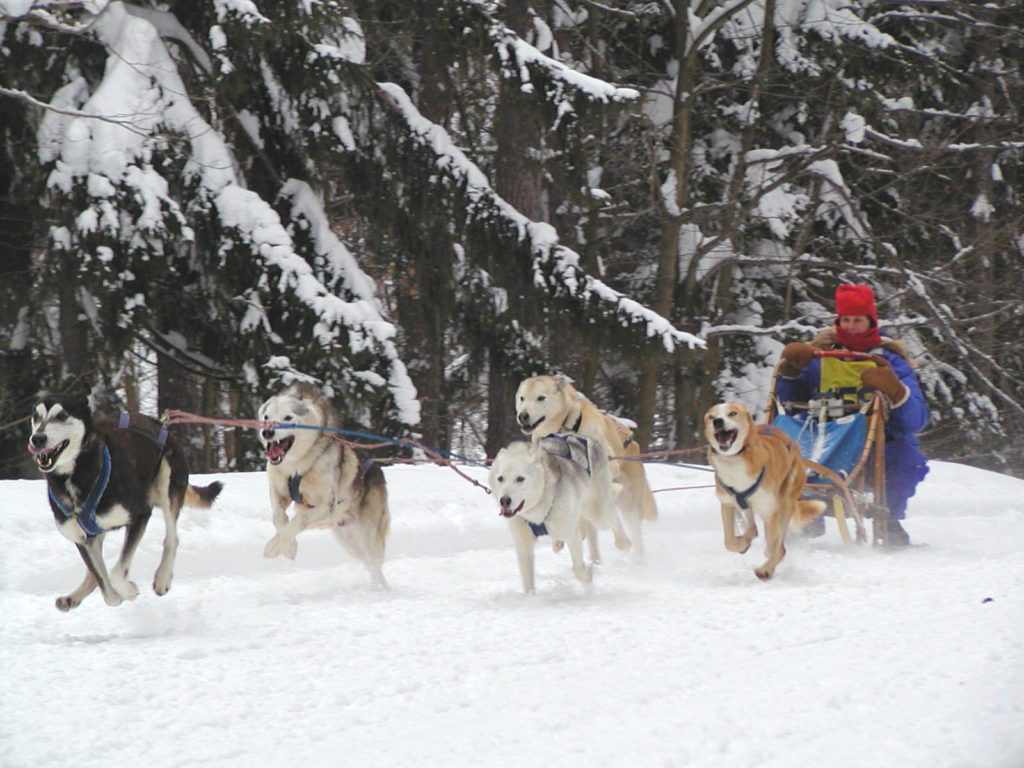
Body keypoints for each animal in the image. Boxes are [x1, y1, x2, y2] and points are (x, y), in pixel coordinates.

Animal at [28, 391, 222, 614]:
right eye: (36, 416)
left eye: (62, 415)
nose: (37, 438)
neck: (76, 475)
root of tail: (161, 424)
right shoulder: (82, 539)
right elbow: (106, 589)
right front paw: (118, 595)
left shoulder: (140, 515)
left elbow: (116, 573)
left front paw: (128, 590)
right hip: (98, 532)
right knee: (94, 573)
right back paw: (72, 598)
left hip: (167, 483)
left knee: (172, 538)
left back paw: (162, 578)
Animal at [254, 382, 387, 589]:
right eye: (266, 417)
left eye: (287, 417)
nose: (267, 431)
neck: (296, 467)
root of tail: (376, 467)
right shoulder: (278, 492)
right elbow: (279, 518)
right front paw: (288, 546)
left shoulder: (326, 505)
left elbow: (298, 520)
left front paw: (274, 546)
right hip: (347, 540)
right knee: (368, 563)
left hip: (369, 534)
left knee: (375, 563)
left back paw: (382, 589)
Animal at [489, 438, 626, 593]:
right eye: (500, 478)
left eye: (520, 479)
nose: (504, 500)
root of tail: (589, 439)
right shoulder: (523, 544)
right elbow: (527, 580)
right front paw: (530, 596)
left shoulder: (571, 534)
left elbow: (578, 569)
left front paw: (588, 574)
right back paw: (558, 543)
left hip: (598, 513)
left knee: (613, 518)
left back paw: (624, 543)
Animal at [516, 376, 659, 557]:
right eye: (522, 398)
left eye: (540, 397)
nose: (522, 416)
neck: (564, 429)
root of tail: (633, 443)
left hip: (628, 504)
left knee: (629, 532)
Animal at [704, 405, 823, 581]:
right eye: (711, 417)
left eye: (732, 413)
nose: (718, 421)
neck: (736, 459)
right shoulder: (727, 504)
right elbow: (729, 542)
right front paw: (741, 543)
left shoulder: (770, 512)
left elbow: (776, 548)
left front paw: (767, 567)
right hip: (747, 505)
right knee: (752, 525)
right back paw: (748, 537)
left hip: (785, 503)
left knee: (779, 547)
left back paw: (766, 568)